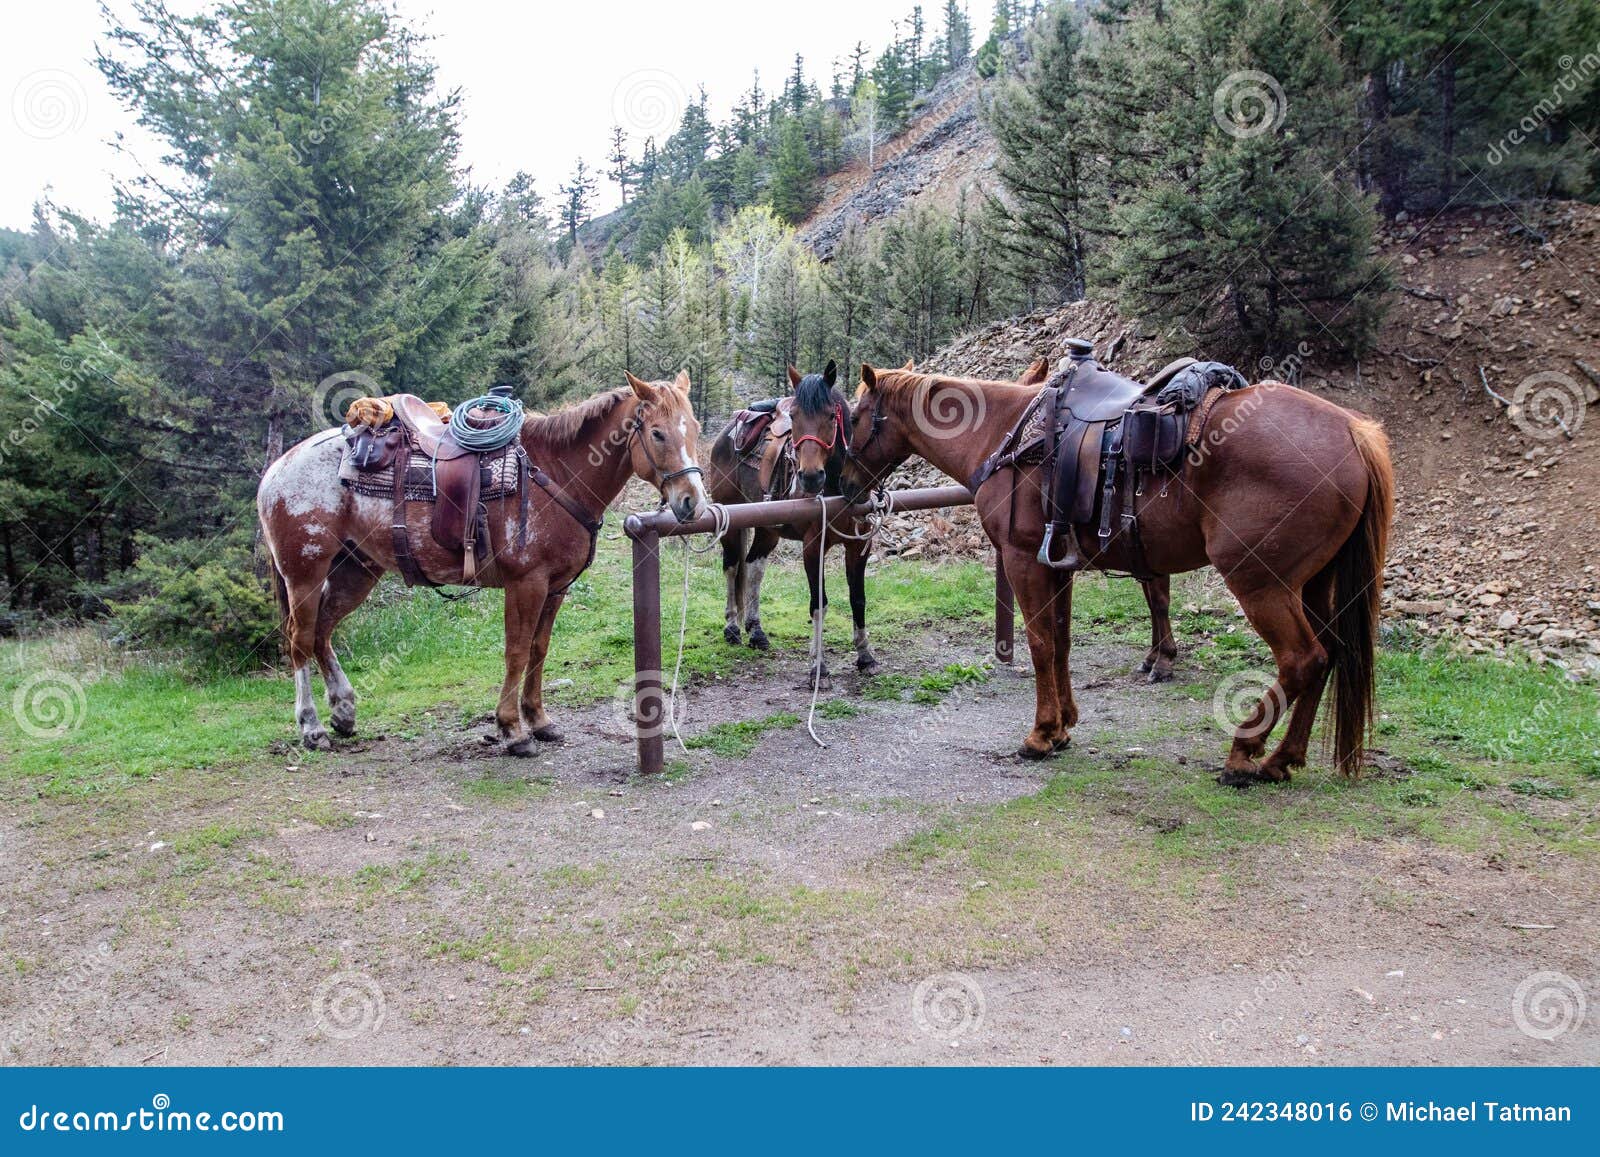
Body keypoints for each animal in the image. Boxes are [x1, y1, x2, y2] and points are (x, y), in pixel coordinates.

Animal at [257, 368, 707, 752]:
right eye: (657, 433)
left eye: (696, 428)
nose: (693, 502)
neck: (556, 474)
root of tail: (277, 469)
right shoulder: (526, 584)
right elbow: (517, 651)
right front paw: (512, 729)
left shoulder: (556, 587)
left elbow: (540, 649)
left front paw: (538, 720)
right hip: (305, 573)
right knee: (300, 639)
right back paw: (312, 727)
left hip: (356, 571)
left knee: (322, 632)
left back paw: (344, 711)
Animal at [704, 356, 876, 675]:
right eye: (794, 417)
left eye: (830, 416)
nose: (809, 477)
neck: (839, 491)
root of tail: (727, 432)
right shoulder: (812, 547)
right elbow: (818, 604)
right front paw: (818, 668)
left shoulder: (859, 546)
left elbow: (858, 599)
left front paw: (865, 655)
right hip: (731, 523)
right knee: (732, 567)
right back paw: (732, 627)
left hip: (767, 529)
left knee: (754, 566)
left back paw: (756, 630)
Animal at [844, 364, 1395, 787]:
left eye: (852, 417)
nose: (839, 483)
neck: (1005, 435)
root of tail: (1354, 433)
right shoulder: (1056, 565)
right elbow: (1061, 642)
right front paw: (1065, 726)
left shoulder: (1023, 560)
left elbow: (1040, 644)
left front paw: (1041, 734)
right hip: (1313, 584)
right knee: (1329, 657)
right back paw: (1284, 759)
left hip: (1262, 585)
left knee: (1303, 660)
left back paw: (1245, 755)